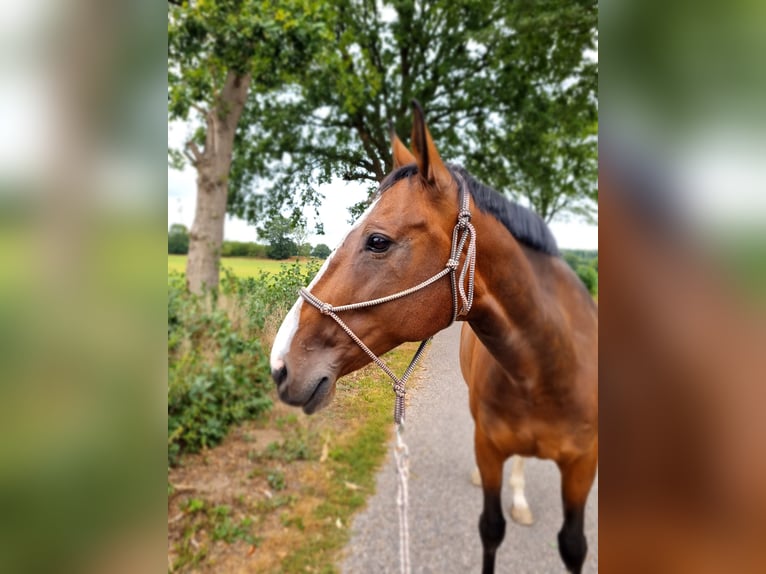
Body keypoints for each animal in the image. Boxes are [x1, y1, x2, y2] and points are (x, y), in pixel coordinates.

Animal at [270, 102, 598, 573]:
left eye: (377, 240)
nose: (280, 365)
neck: (548, 369)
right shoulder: (489, 447)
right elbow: (491, 529)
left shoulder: (583, 465)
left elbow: (572, 546)